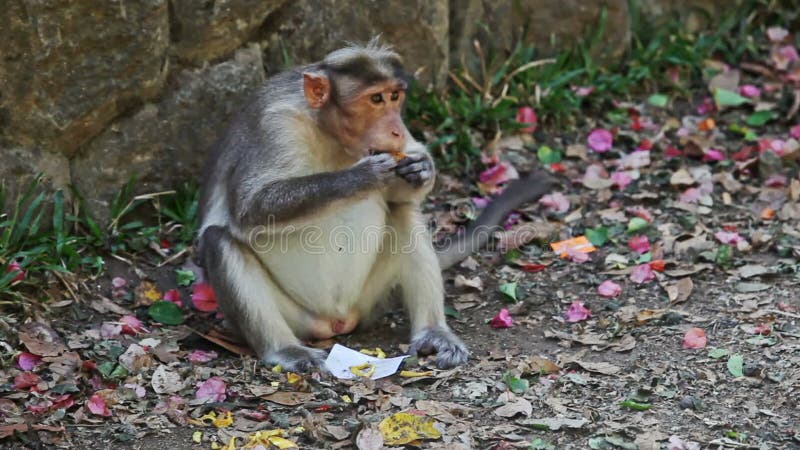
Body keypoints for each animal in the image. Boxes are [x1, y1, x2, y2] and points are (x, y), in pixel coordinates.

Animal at [197, 40, 552, 372]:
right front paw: (363, 175)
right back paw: (284, 348)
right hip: (296, 316)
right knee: (219, 241)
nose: (395, 129)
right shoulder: (275, 126)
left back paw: (433, 332)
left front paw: (421, 168)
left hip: (370, 297)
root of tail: (335, 321)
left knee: (404, 213)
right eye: (376, 99)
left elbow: (403, 193)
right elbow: (251, 208)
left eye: (395, 97)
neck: (325, 130)